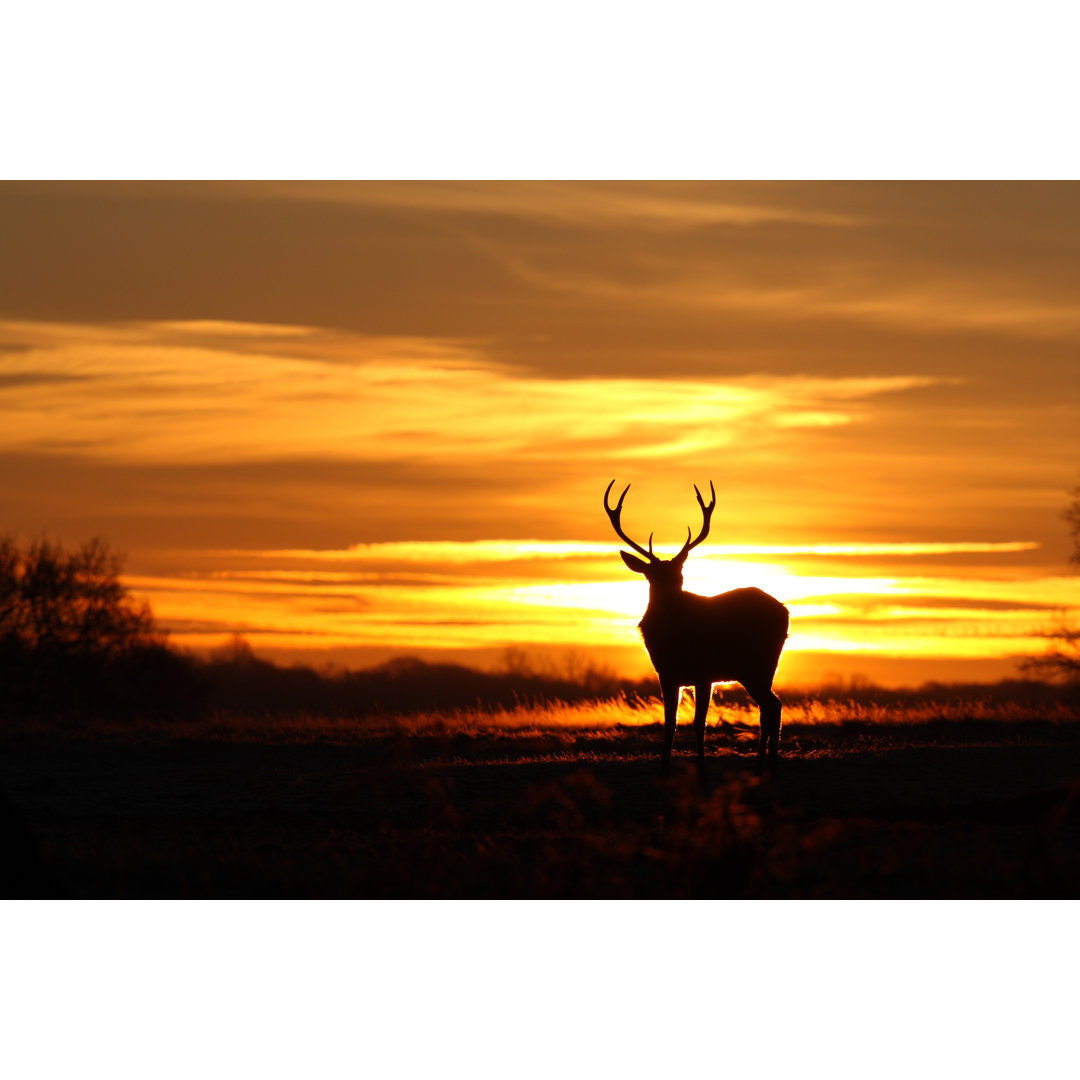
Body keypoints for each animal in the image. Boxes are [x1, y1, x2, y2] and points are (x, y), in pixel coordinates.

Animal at [604, 479, 790, 777]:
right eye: (651, 577)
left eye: (680, 575)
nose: (671, 599)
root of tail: (785, 611)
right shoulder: (666, 674)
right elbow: (670, 723)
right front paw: (663, 769)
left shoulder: (704, 673)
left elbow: (698, 724)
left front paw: (702, 771)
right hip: (755, 669)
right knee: (770, 705)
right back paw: (764, 765)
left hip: (759, 664)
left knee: (772, 705)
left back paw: (766, 765)